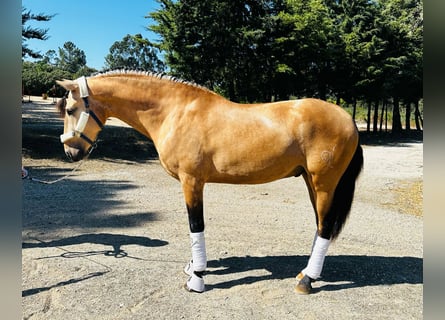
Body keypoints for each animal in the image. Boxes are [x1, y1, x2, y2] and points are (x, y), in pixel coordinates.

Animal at [55, 70, 360, 296]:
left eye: (70, 109)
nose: (71, 153)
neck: (174, 111)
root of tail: (349, 119)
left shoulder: (192, 181)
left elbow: (195, 225)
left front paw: (197, 278)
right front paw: (193, 267)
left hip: (324, 184)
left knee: (324, 226)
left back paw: (307, 280)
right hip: (311, 181)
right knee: (320, 225)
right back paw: (305, 273)